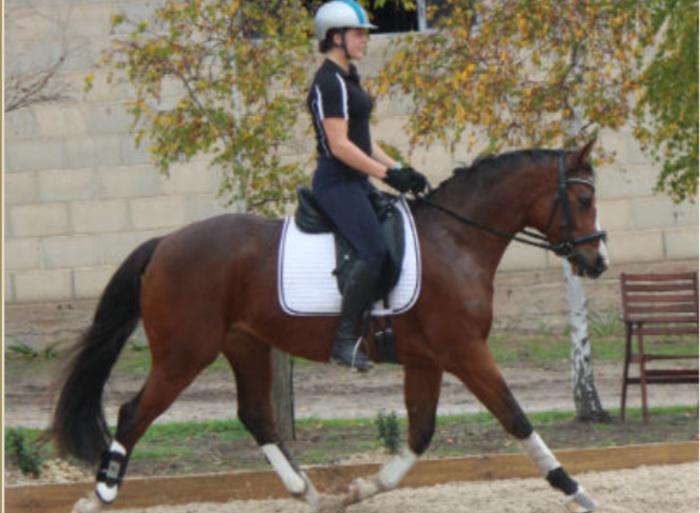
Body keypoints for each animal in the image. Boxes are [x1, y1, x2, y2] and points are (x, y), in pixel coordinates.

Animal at [52, 139, 607, 513]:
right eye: (583, 201)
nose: (597, 262)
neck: (456, 240)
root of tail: (164, 242)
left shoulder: (428, 360)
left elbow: (421, 432)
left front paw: (361, 488)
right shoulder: (465, 351)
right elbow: (515, 417)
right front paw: (576, 490)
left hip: (245, 344)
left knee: (255, 414)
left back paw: (307, 491)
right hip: (185, 352)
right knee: (134, 412)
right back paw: (100, 494)